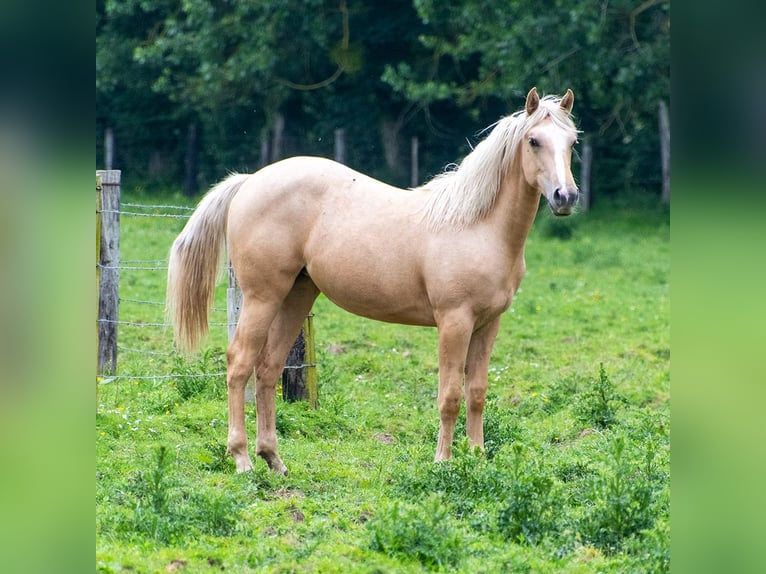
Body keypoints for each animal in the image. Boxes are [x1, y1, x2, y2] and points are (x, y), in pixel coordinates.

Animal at [166, 88, 576, 474]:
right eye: (533, 140)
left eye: (571, 141)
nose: (566, 196)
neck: (476, 225)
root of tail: (250, 181)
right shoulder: (454, 322)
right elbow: (449, 396)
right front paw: (443, 462)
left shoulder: (488, 324)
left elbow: (476, 393)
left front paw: (476, 459)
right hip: (262, 297)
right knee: (239, 364)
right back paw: (242, 459)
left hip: (295, 296)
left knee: (267, 368)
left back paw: (274, 460)